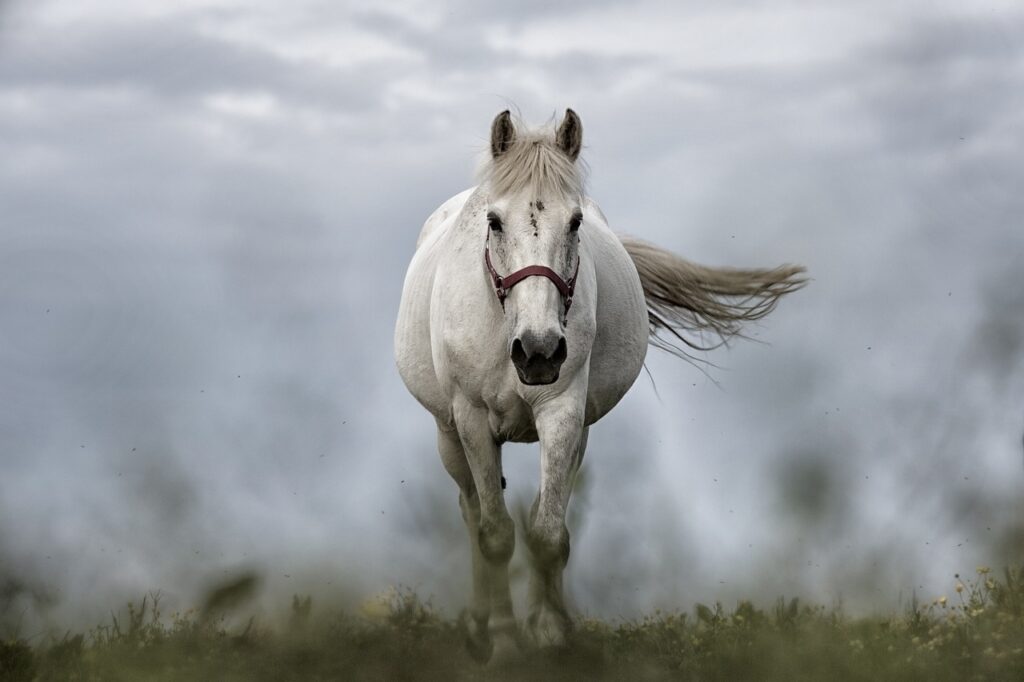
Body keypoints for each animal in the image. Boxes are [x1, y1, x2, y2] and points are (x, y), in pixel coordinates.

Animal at [394, 109, 806, 662]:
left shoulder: (563, 412)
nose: (539, 351)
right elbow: (495, 534)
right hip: (448, 434)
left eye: (575, 222)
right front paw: (503, 643)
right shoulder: (472, 420)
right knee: (471, 512)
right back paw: (479, 626)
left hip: (577, 435)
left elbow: (548, 533)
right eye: (494, 221)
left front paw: (550, 633)